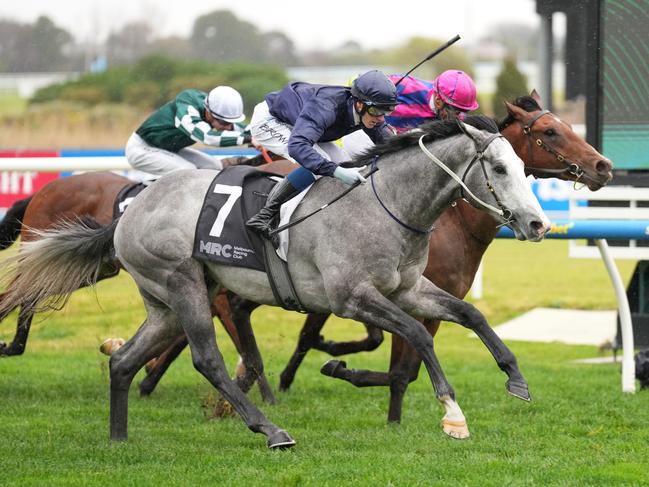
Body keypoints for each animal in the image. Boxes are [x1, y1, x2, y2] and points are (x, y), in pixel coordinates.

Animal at [0, 119, 548, 450]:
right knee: (208, 359)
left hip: (167, 302)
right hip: (182, 285)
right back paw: (270, 428)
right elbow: (415, 335)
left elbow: (470, 314)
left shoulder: (407, 289)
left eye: (525, 166)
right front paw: (452, 412)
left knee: (124, 361)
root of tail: (129, 213)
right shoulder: (352, 298)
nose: (538, 224)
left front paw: (516, 379)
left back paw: (118, 436)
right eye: (500, 168)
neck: (385, 202)